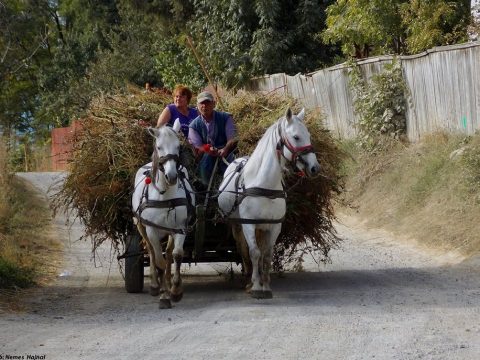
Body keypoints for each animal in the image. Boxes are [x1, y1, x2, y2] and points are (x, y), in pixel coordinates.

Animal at [132, 119, 194, 308]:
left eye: (178, 146)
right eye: (159, 147)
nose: (172, 176)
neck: (165, 195)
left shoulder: (180, 227)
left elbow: (176, 255)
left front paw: (175, 290)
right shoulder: (151, 229)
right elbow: (158, 259)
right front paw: (164, 295)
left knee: (168, 254)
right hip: (141, 227)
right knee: (151, 252)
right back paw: (154, 285)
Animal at [219, 108, 320, 300]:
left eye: (309, 135)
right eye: (296, 137)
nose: (315, 168)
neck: (265, 186)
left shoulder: (274, 226)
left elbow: (266, 255)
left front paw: (265, 285)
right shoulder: (249, 225)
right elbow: (254, 252)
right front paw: (256, 287)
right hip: (237, 224)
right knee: (243, 248)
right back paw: (249, 279)